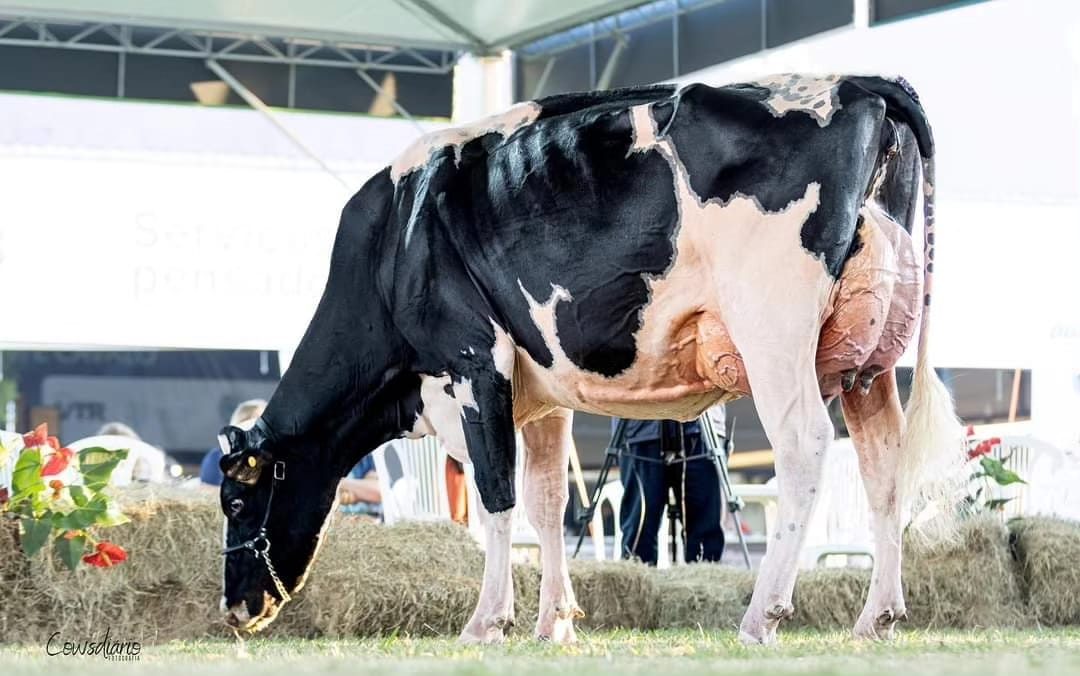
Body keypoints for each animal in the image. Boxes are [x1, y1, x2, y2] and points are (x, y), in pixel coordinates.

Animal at [219, 73, 963, 643]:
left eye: (236, 501)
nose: (233, 609)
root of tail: (854, 82)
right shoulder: (541, 391)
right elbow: (546, 502)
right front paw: (553, 622)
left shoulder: (473, 359)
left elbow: (496, 495)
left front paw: (487, 622)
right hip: (871, 353)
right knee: (882, 465)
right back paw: (877, 617)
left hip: (772, 325)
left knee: (804, 443)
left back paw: (763, 614)